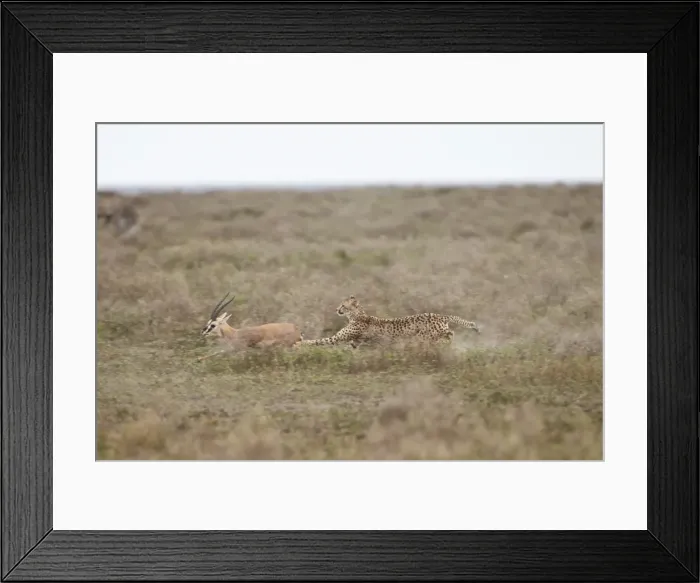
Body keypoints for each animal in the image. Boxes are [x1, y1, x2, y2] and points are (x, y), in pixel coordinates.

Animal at [299, 295, 481, 348]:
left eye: (343, 305)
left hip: (424, 336)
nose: (337, 309)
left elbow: (319, 340)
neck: (357, 314)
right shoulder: (356, 342)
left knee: (447, 334)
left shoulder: (337, 338)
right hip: (435, 333)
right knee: (450, 333)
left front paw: (300, 343)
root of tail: (439, 315)